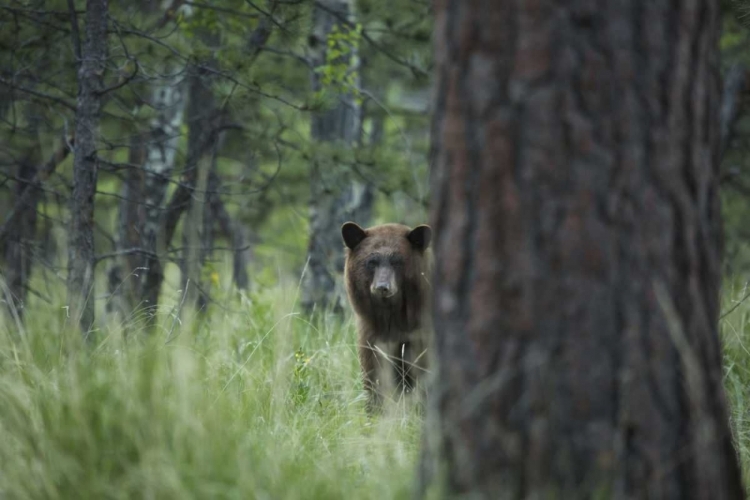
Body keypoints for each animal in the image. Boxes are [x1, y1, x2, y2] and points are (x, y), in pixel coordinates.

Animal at [342, 221, 434, 412]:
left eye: (397, 261)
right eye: (372, 261)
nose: (382, 287)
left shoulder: (421, 334)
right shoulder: (371, 334)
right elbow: (374, 373)